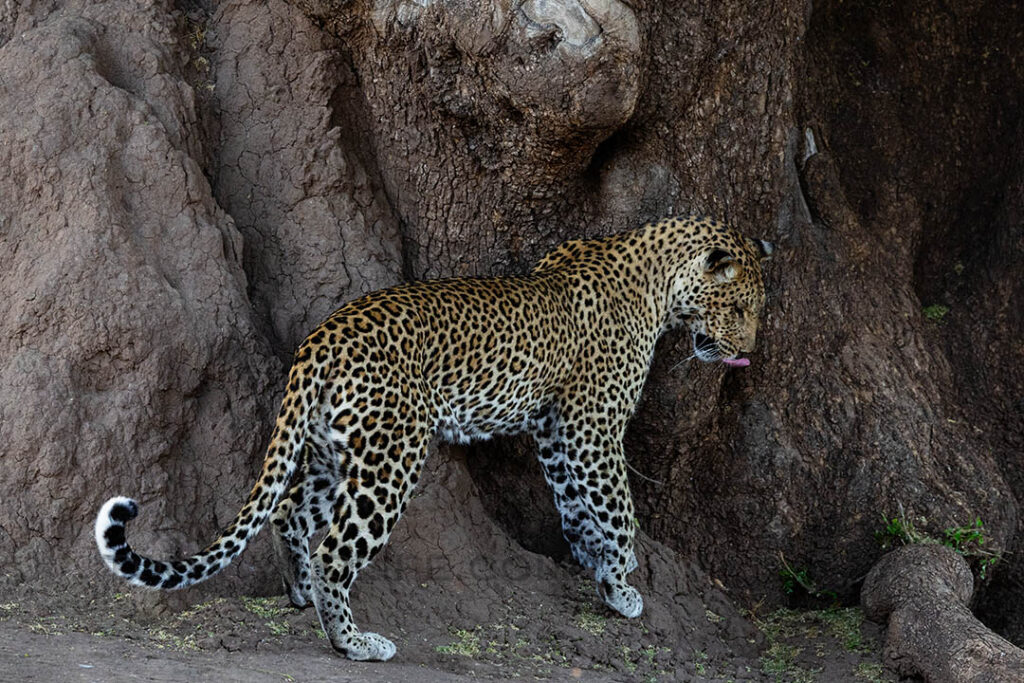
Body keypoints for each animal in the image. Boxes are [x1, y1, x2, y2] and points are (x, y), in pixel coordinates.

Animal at [95, 215, 774, 661]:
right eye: (741, 307)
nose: (748, 353)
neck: (658, 282)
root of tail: (321, 338)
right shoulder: (592, 425)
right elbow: (618, 506)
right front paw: (624, 583)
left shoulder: (556, 429)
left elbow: (577, 505)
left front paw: (599, 567)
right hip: (392, 457)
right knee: (335, 548)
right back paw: (355, 642)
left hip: (334, 451)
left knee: (290, 513)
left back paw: (301, 594)